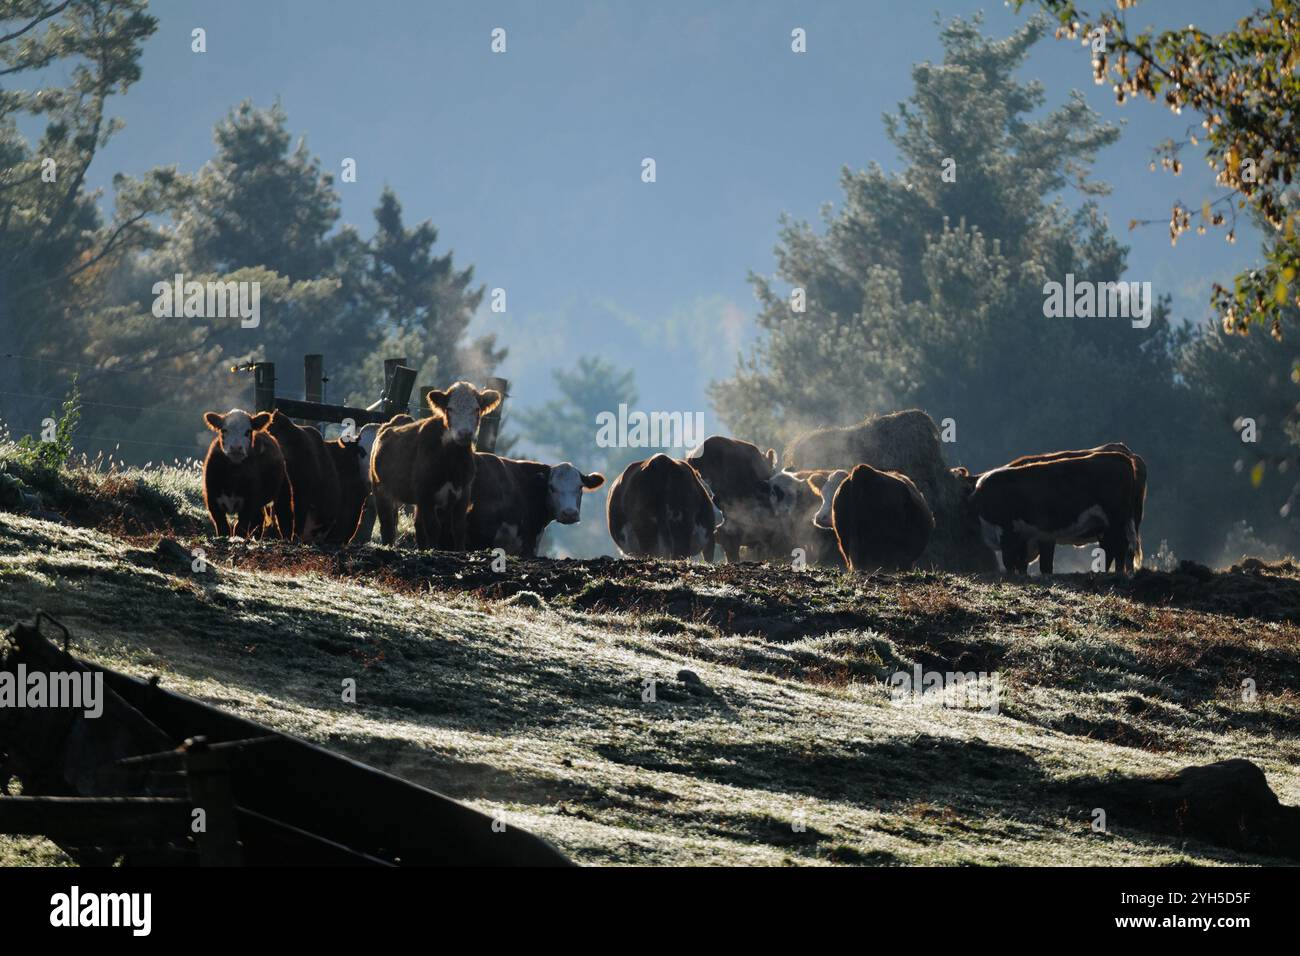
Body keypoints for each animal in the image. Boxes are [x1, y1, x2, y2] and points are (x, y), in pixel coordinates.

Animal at [201, 409, 286, 539]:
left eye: (248, 431)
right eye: (224, 430)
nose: (236, 448)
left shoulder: (250, 502)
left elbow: (240, 527)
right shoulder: (212, 500)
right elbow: (222, 526)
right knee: (259, 519)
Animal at [370, 383, 501, 549]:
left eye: (477, 409)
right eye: (449, 409)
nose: (465, 433)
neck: (453, 464)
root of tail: (391, 422)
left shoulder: (463, 493)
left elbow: (458, 528)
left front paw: (459, 551)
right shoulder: (425, 493)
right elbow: (433, 527)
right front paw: (433, 550)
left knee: (416, 525)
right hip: (381, 489)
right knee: (387, 525)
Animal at [969, 451, 1139, 576]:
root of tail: (1118, 456)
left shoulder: (1008, 531)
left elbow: (1011, 560)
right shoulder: (1028, 536)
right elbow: (1025, 562)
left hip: (1116, 520)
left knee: (1120, 546)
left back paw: (1116, 573)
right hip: (1107, 526)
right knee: (1111, 548)